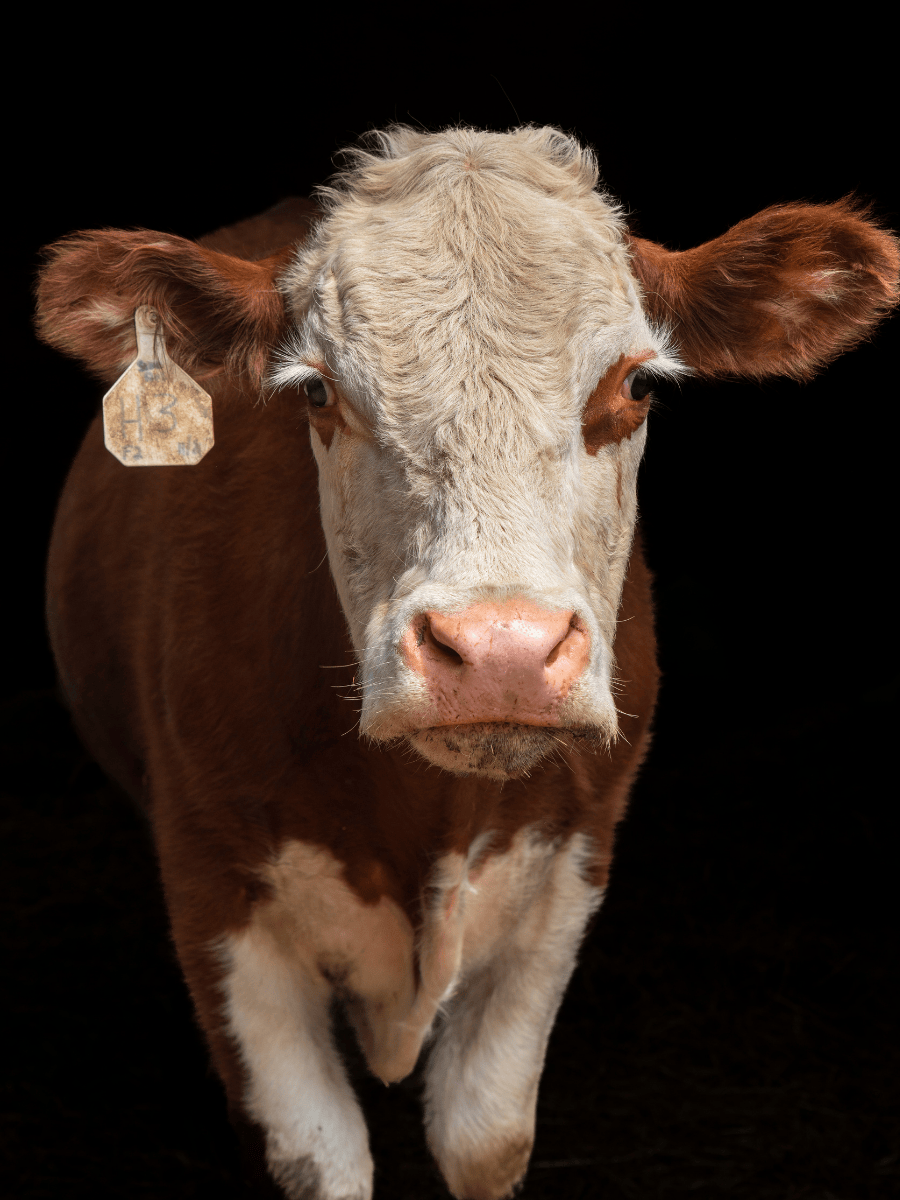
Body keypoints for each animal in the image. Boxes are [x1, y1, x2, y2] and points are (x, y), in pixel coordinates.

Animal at [34, 125, 898, 1200]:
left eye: (636, 384)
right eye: (317, 390)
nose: (499, 653)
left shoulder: (570, 863)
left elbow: (485, 1136)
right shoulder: (211, 882)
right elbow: (314, 1155)